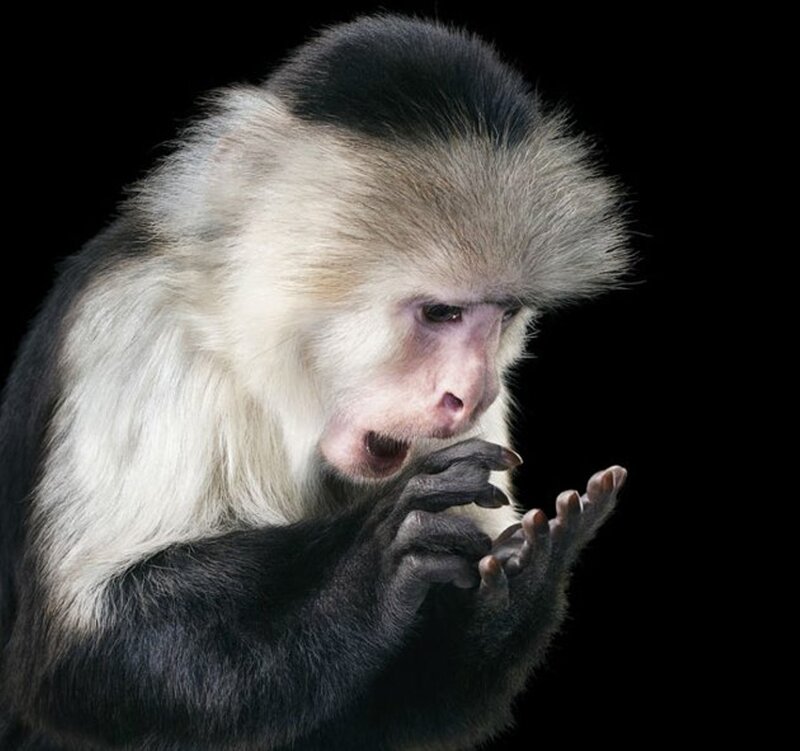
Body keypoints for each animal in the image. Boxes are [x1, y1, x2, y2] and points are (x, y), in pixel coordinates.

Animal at [0, 14, 630, 751]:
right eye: (440, 313)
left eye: (501, 315)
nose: (472, 394)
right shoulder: (136, 334)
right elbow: (80, 661)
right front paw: (371, 570)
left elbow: (400, 711)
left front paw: (527, 577)